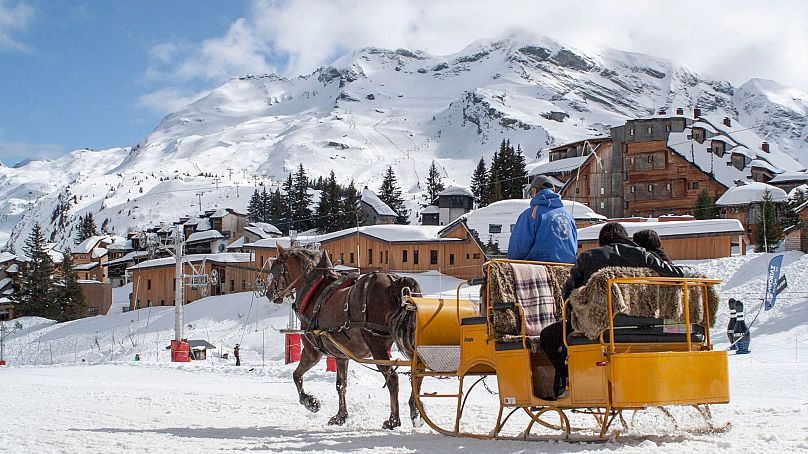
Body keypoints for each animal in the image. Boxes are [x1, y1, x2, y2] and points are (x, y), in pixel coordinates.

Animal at [268, 245, 426, 430]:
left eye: (275, 268)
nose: (269, 292)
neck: (314, 290)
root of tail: (394, 282)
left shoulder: (312, 350)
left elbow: (296, 375)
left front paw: (311, 402)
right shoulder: (341, 355)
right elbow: (340, 385)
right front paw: (340, 416)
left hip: (377, 345)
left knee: (392, 378)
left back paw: (393, 419)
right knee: (417, 371)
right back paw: (416, 411)